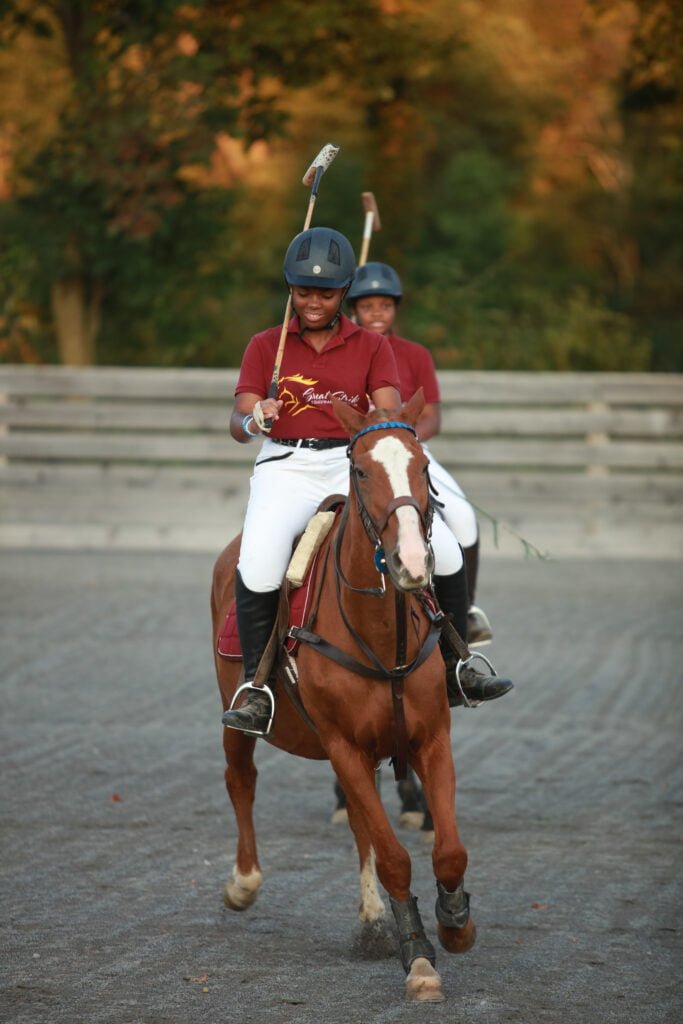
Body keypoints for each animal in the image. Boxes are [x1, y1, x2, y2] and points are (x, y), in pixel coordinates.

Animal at [211, 389, 475, 999]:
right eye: (360, 470)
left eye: (423, 468)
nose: (411, 563)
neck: (381, 632)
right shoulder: (343, 746)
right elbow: (396, 858)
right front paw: (419, 958)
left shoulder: (430, 739)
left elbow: (447, 849)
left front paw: (455, 923)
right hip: (236, 708)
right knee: (242, 778)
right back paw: (243, 884)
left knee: (360, 822)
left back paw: (374, 919)